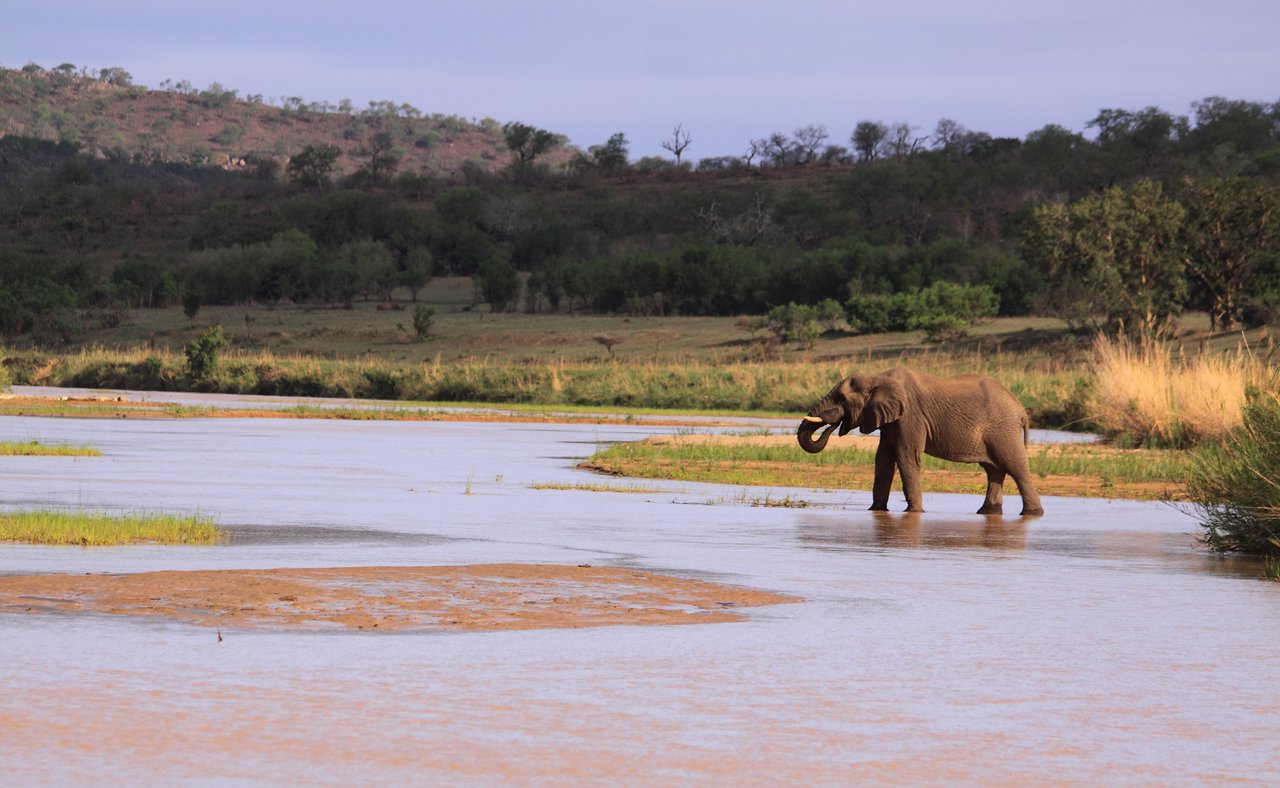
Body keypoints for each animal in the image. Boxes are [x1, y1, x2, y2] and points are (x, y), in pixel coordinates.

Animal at [796, 367, 1044, 516]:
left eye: (841, 399)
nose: (834, 425)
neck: (878, 376)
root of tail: (1022, 410)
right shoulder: (891, 419)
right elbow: (883, 459)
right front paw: (876, 511)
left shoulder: (910, 416)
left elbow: (906, 455)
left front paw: (914, 513)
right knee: (994, 470)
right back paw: (987, 513)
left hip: (1003, 431)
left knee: (1016, 468)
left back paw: (1032, 514)